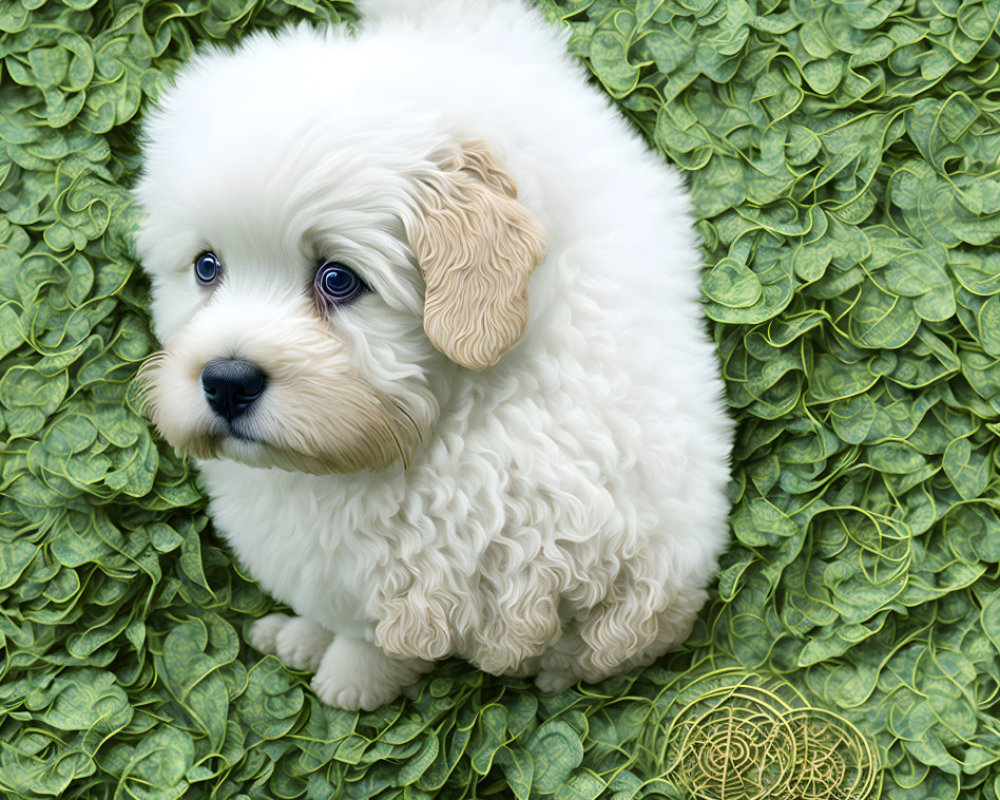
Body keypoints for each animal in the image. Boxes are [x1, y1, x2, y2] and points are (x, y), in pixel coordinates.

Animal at [133, 0, 732, 712]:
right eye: (206, 267)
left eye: (339, 280)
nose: (225, 382)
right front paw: (310, 639)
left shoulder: (433, 568)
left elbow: (376, 637)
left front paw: (349, 684)